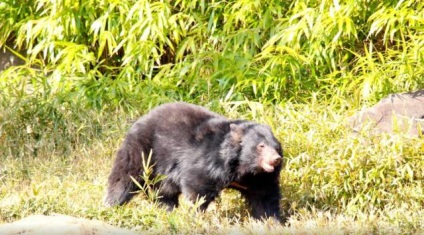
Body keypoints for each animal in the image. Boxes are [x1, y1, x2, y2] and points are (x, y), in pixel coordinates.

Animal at [104, 102, 284, 221]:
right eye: (261, 146)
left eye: (276, 147)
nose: (276, 159)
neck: (242, 168)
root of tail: (142, 117)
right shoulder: (208, 163)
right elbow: (197, 188)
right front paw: (196, 215)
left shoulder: (258, 179)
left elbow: (265, 197)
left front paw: (272, 221)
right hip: (143, 152)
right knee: (124, 177)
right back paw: (111, 206)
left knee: (163, 193)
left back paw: (167, 210)